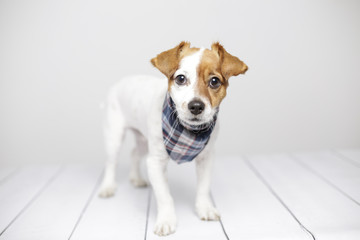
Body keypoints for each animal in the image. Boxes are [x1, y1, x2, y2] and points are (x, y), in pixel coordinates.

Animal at [98, 41, 248, 236]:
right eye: (181, 79)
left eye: (214, 81)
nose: (196, 106)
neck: (187, 132)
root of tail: (120, 82)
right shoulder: (155, 162)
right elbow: (164, 196)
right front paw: (166, 220)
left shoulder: (206, 159)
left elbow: (203, 188)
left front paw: (205, 208)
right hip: (114, 137)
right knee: (111, 163)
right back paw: (107, 187)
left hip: (144, 140)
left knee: (134, 154)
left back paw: (136, 178)